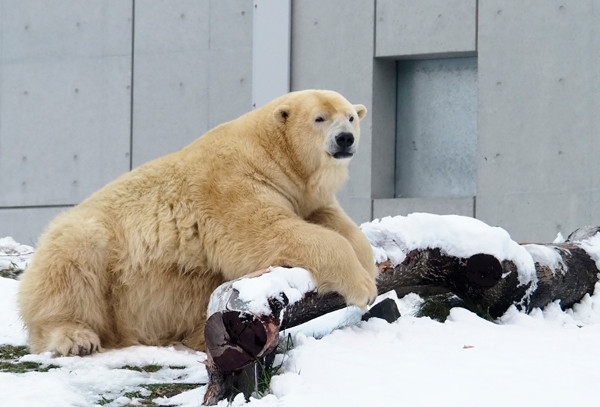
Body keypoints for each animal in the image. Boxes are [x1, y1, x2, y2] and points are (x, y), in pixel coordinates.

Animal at [16, 90, 378, 356]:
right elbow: (265, 234)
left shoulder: (301, 194)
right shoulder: (232, 183)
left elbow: (333, 220)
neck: (268, 151)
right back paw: (75, 337)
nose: (344, 138)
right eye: (320, 118)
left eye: (350, 116)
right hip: (95, 247)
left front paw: (369, 265)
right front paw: (363, 285)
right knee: (71, 267)